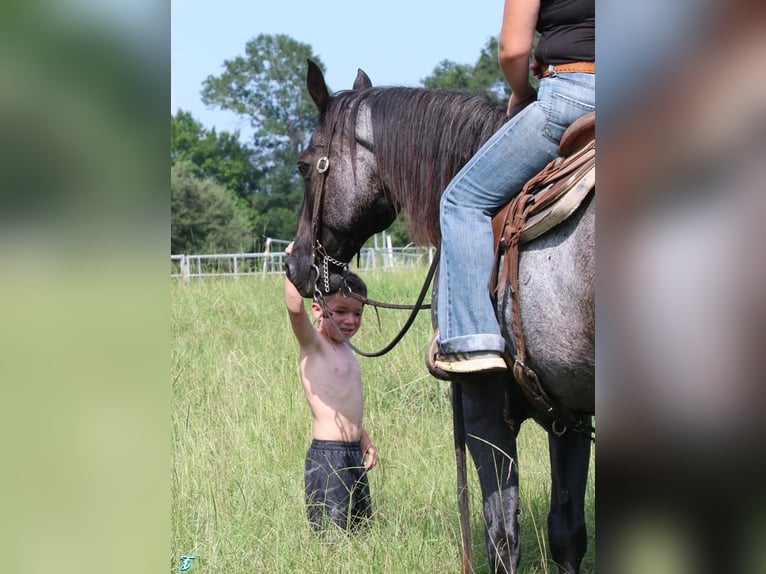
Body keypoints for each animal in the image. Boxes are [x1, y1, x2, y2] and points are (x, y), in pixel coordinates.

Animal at [284, 60, 596, 572]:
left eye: (305, 165)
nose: (294, 263)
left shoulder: (484, 405)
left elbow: (501, 537)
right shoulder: (566, 410)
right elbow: (566, 533)